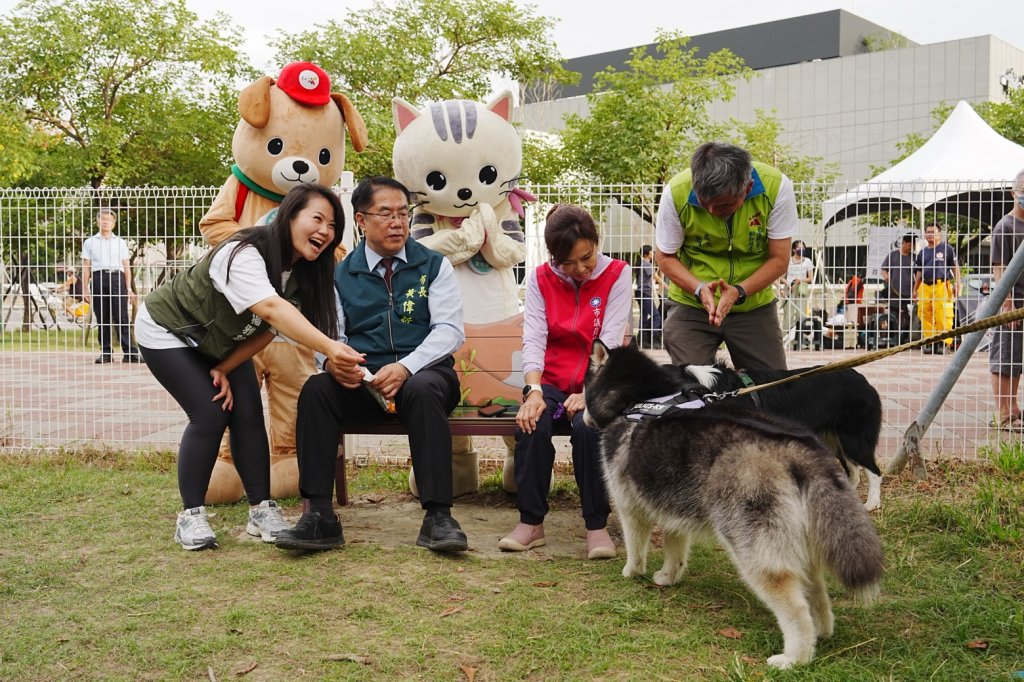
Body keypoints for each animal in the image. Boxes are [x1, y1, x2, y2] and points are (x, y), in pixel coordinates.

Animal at [675, 360, 884, 509]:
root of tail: (863, 380)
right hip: (836, 441)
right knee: (854, 471)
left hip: (854, 439)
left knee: (873, 471)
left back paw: (871, 504)